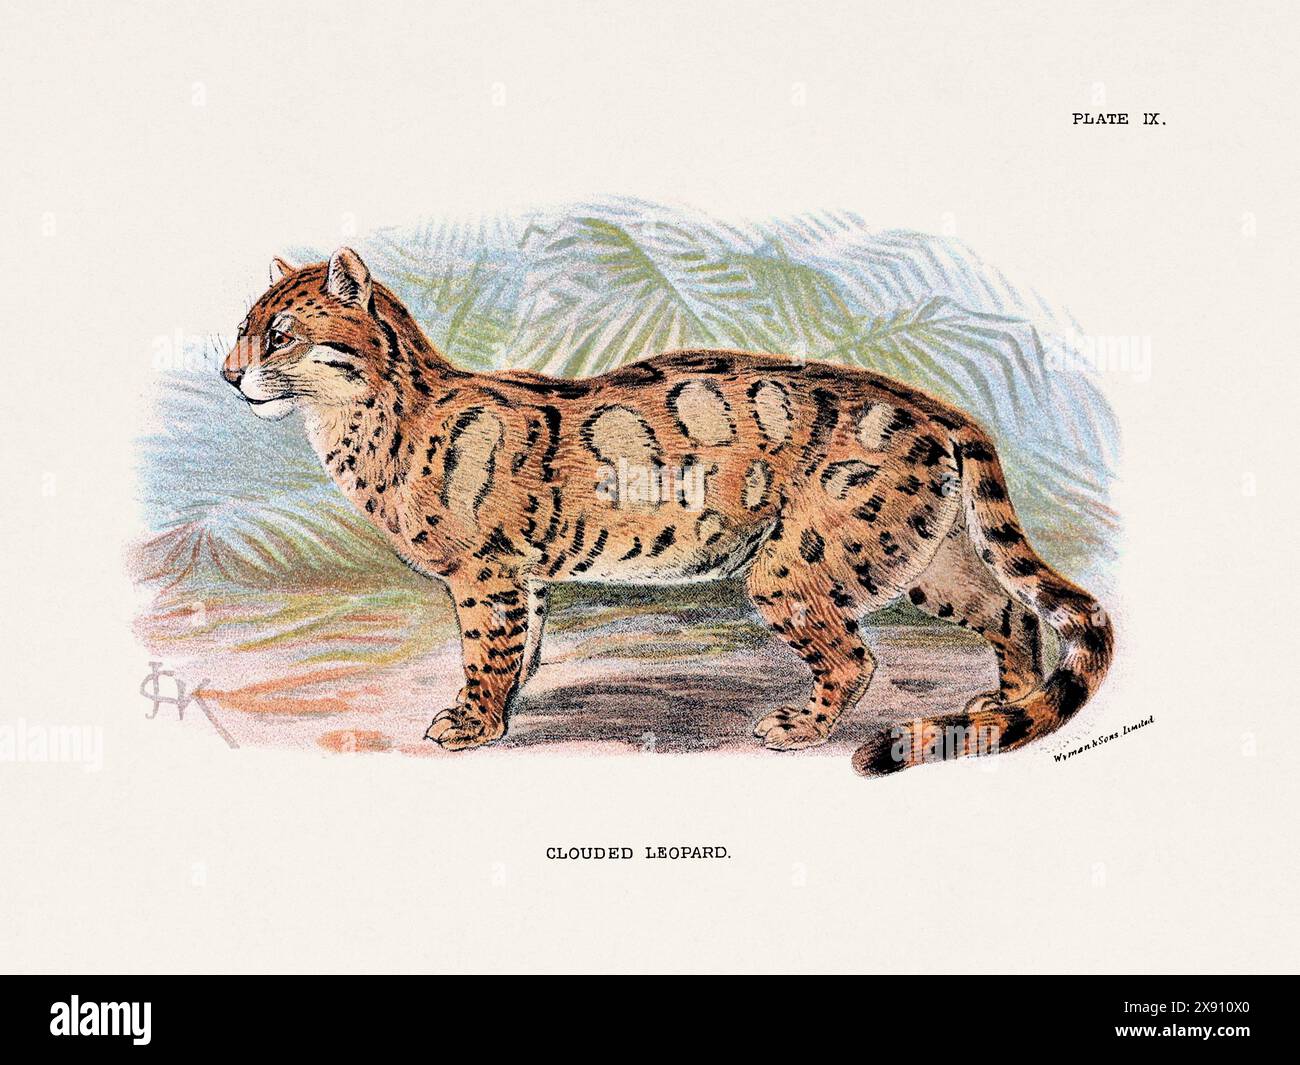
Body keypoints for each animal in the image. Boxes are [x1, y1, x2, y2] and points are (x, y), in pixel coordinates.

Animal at [220, 248, 1113, 775]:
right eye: (244, 327)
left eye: (282, 334)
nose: (227, 373)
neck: (367, 424)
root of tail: (932, 404)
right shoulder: (521, 576)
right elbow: (522, 648)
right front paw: (504, 707)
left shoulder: (485, 574)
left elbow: (486, 652)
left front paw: (473, 723)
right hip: (926, 556)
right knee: (1009, 610)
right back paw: (1000, 707)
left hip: (797, 563)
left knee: (856, 658)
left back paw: (800, 726)